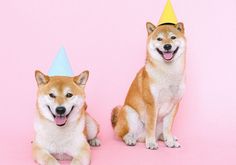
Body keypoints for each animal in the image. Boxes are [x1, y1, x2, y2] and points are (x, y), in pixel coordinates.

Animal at [110, 21, 186, 150]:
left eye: (173, 37)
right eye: (159, 39)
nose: (167, 46)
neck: (168, 72)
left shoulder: (174, 106)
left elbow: (168, 128)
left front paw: (170, 141)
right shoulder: (152, 104)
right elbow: (150, 126)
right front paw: (151, 143)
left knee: (161, 133)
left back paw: (168, 138)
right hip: (129, 111)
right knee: (125, 134)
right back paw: (131, 139)